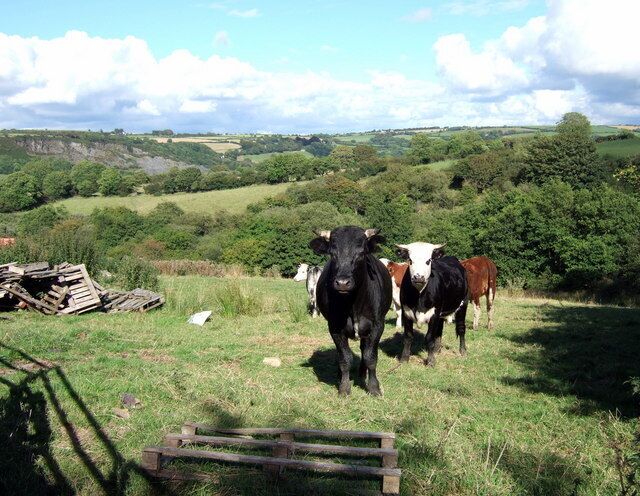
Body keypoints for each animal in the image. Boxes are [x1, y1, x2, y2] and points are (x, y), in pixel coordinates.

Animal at [310, 226, 392, 396]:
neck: (353, 305)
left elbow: (370, 357)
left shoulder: (377, 325)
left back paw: (362, 373)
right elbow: (345, 358)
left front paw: (373, 387)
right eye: (332, 253)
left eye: (361, 253)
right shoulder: (334, 327)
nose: (342, 283)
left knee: (364, 349)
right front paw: (344, 387)